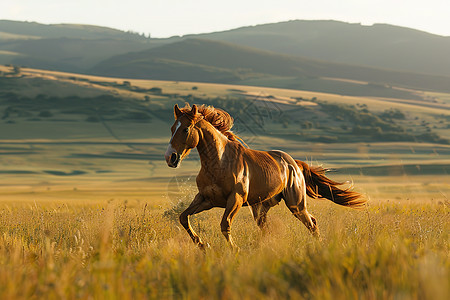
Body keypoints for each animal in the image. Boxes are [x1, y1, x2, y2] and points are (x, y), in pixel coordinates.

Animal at [165, 103, 366, 248]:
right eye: (172, 128)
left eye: (185, 129)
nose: (170, 157)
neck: (219, 162)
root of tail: (294, 164)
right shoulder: (206, 199)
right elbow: (183, 217)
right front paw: (201, 245)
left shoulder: (235, 199)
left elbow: (225, 225)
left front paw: (234, 250)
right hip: (261, 207)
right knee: (268, 229)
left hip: (296, 204)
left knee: (311, 223)